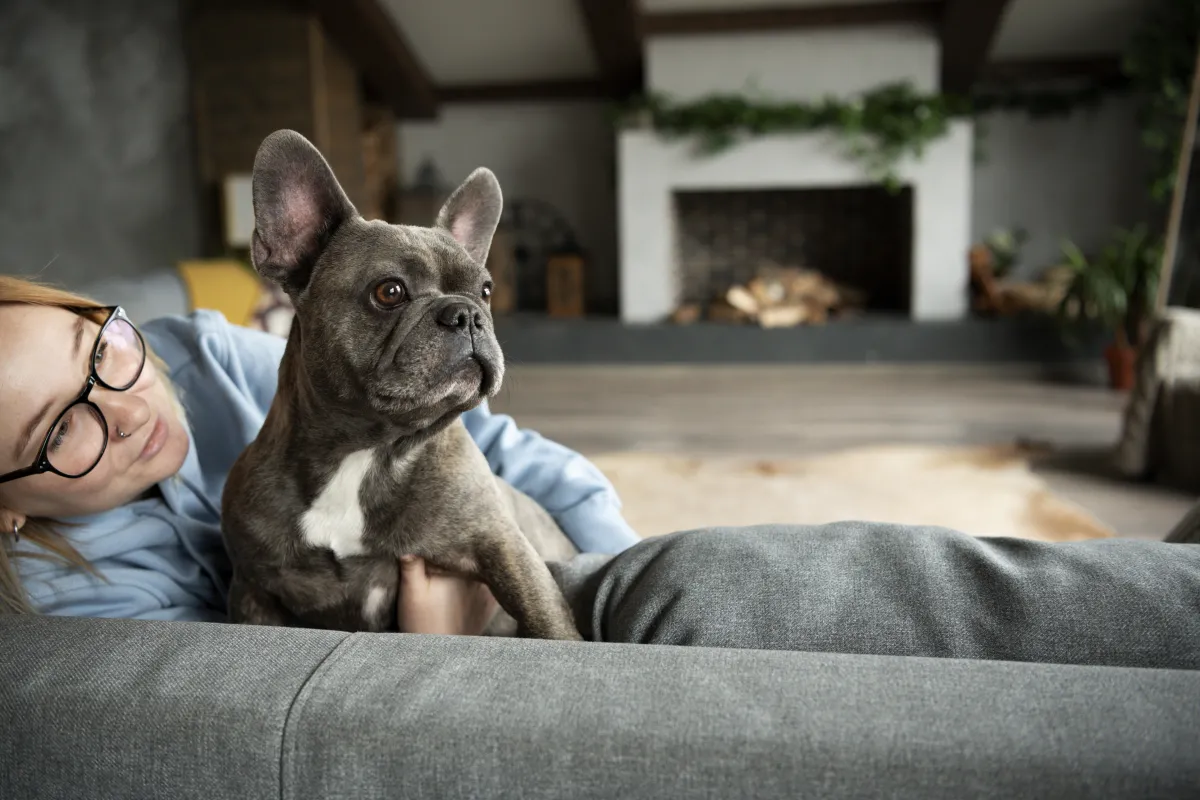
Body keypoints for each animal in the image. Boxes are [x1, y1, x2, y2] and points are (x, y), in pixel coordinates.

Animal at [225, 128, 585, 642]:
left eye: (486, 291)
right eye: (389, 291)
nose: (467, 313)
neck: (367, 450)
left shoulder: (504, 548)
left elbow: (547, 619)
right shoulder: (252, 589)